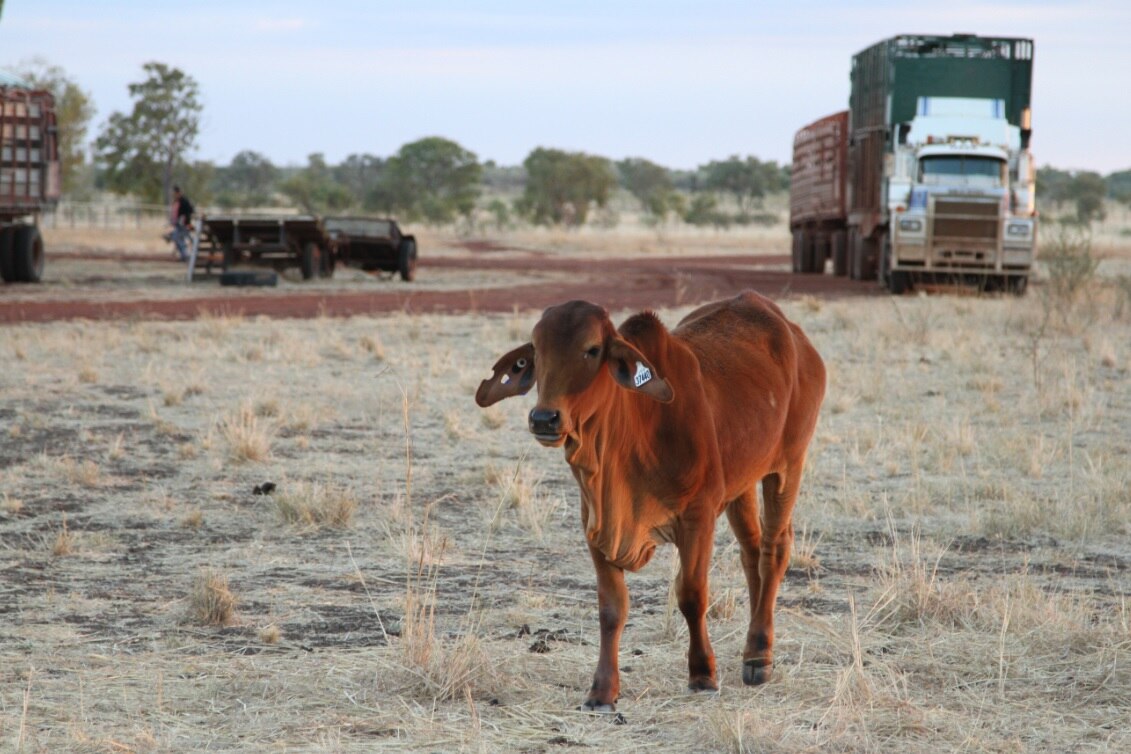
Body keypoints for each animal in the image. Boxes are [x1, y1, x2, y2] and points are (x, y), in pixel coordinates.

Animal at [476, 291, 826, 711]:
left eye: (592, 350)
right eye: (537, 352)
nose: (544, 418)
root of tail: (794, 336)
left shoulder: (698, 517)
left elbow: (691, 594)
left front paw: (702, 674)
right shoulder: (595, 525)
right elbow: (611, 608)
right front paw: (602, 690)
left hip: (788, 464)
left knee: (774, 550)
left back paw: (758, 655)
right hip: (741, 483)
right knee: (751, 553)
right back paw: (755, 649)